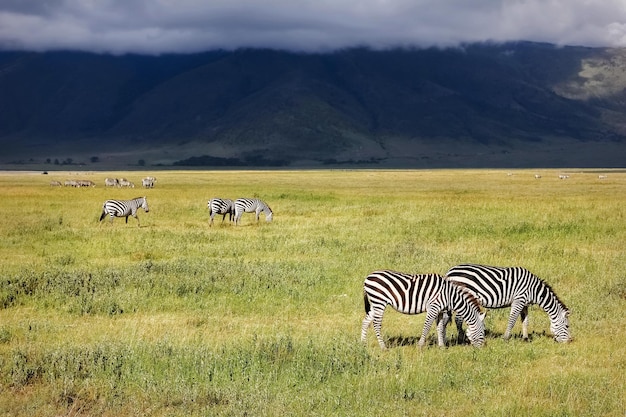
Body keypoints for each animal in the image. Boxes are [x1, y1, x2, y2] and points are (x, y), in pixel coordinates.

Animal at [358, 270, 486, 348]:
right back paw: (383, 347)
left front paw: (441, 347)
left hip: (375, 304)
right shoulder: (433, 307)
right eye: (483, 333)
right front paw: (420, 346)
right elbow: (427, 327)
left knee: (365, 321)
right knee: (376, 324)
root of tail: (368, 277)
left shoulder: (440, 311)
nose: (480, 350)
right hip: (379, 302)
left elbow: (440, 328)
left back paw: (363, 343)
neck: (450, 296)